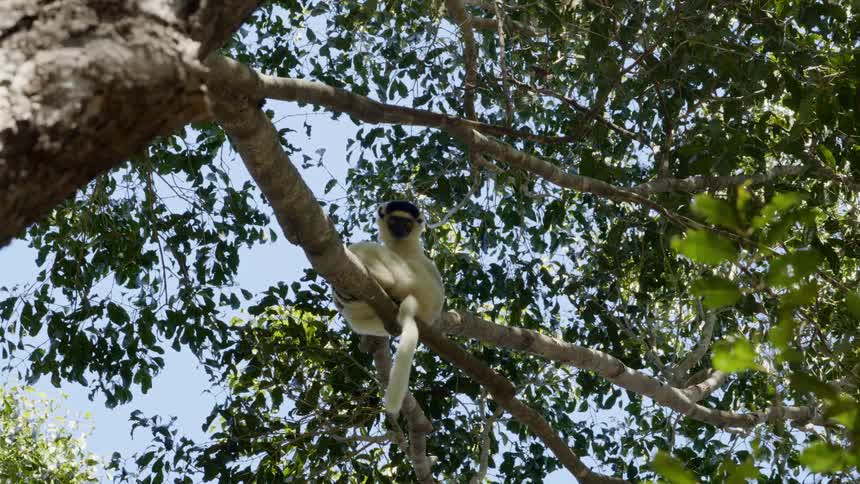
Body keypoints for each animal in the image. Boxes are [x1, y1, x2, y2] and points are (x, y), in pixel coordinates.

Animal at [333, 200, 445, 416]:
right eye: (394, 220)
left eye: (407, 223)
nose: (400, 229)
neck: (402, 244)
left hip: (410, 278)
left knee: (368, 250)